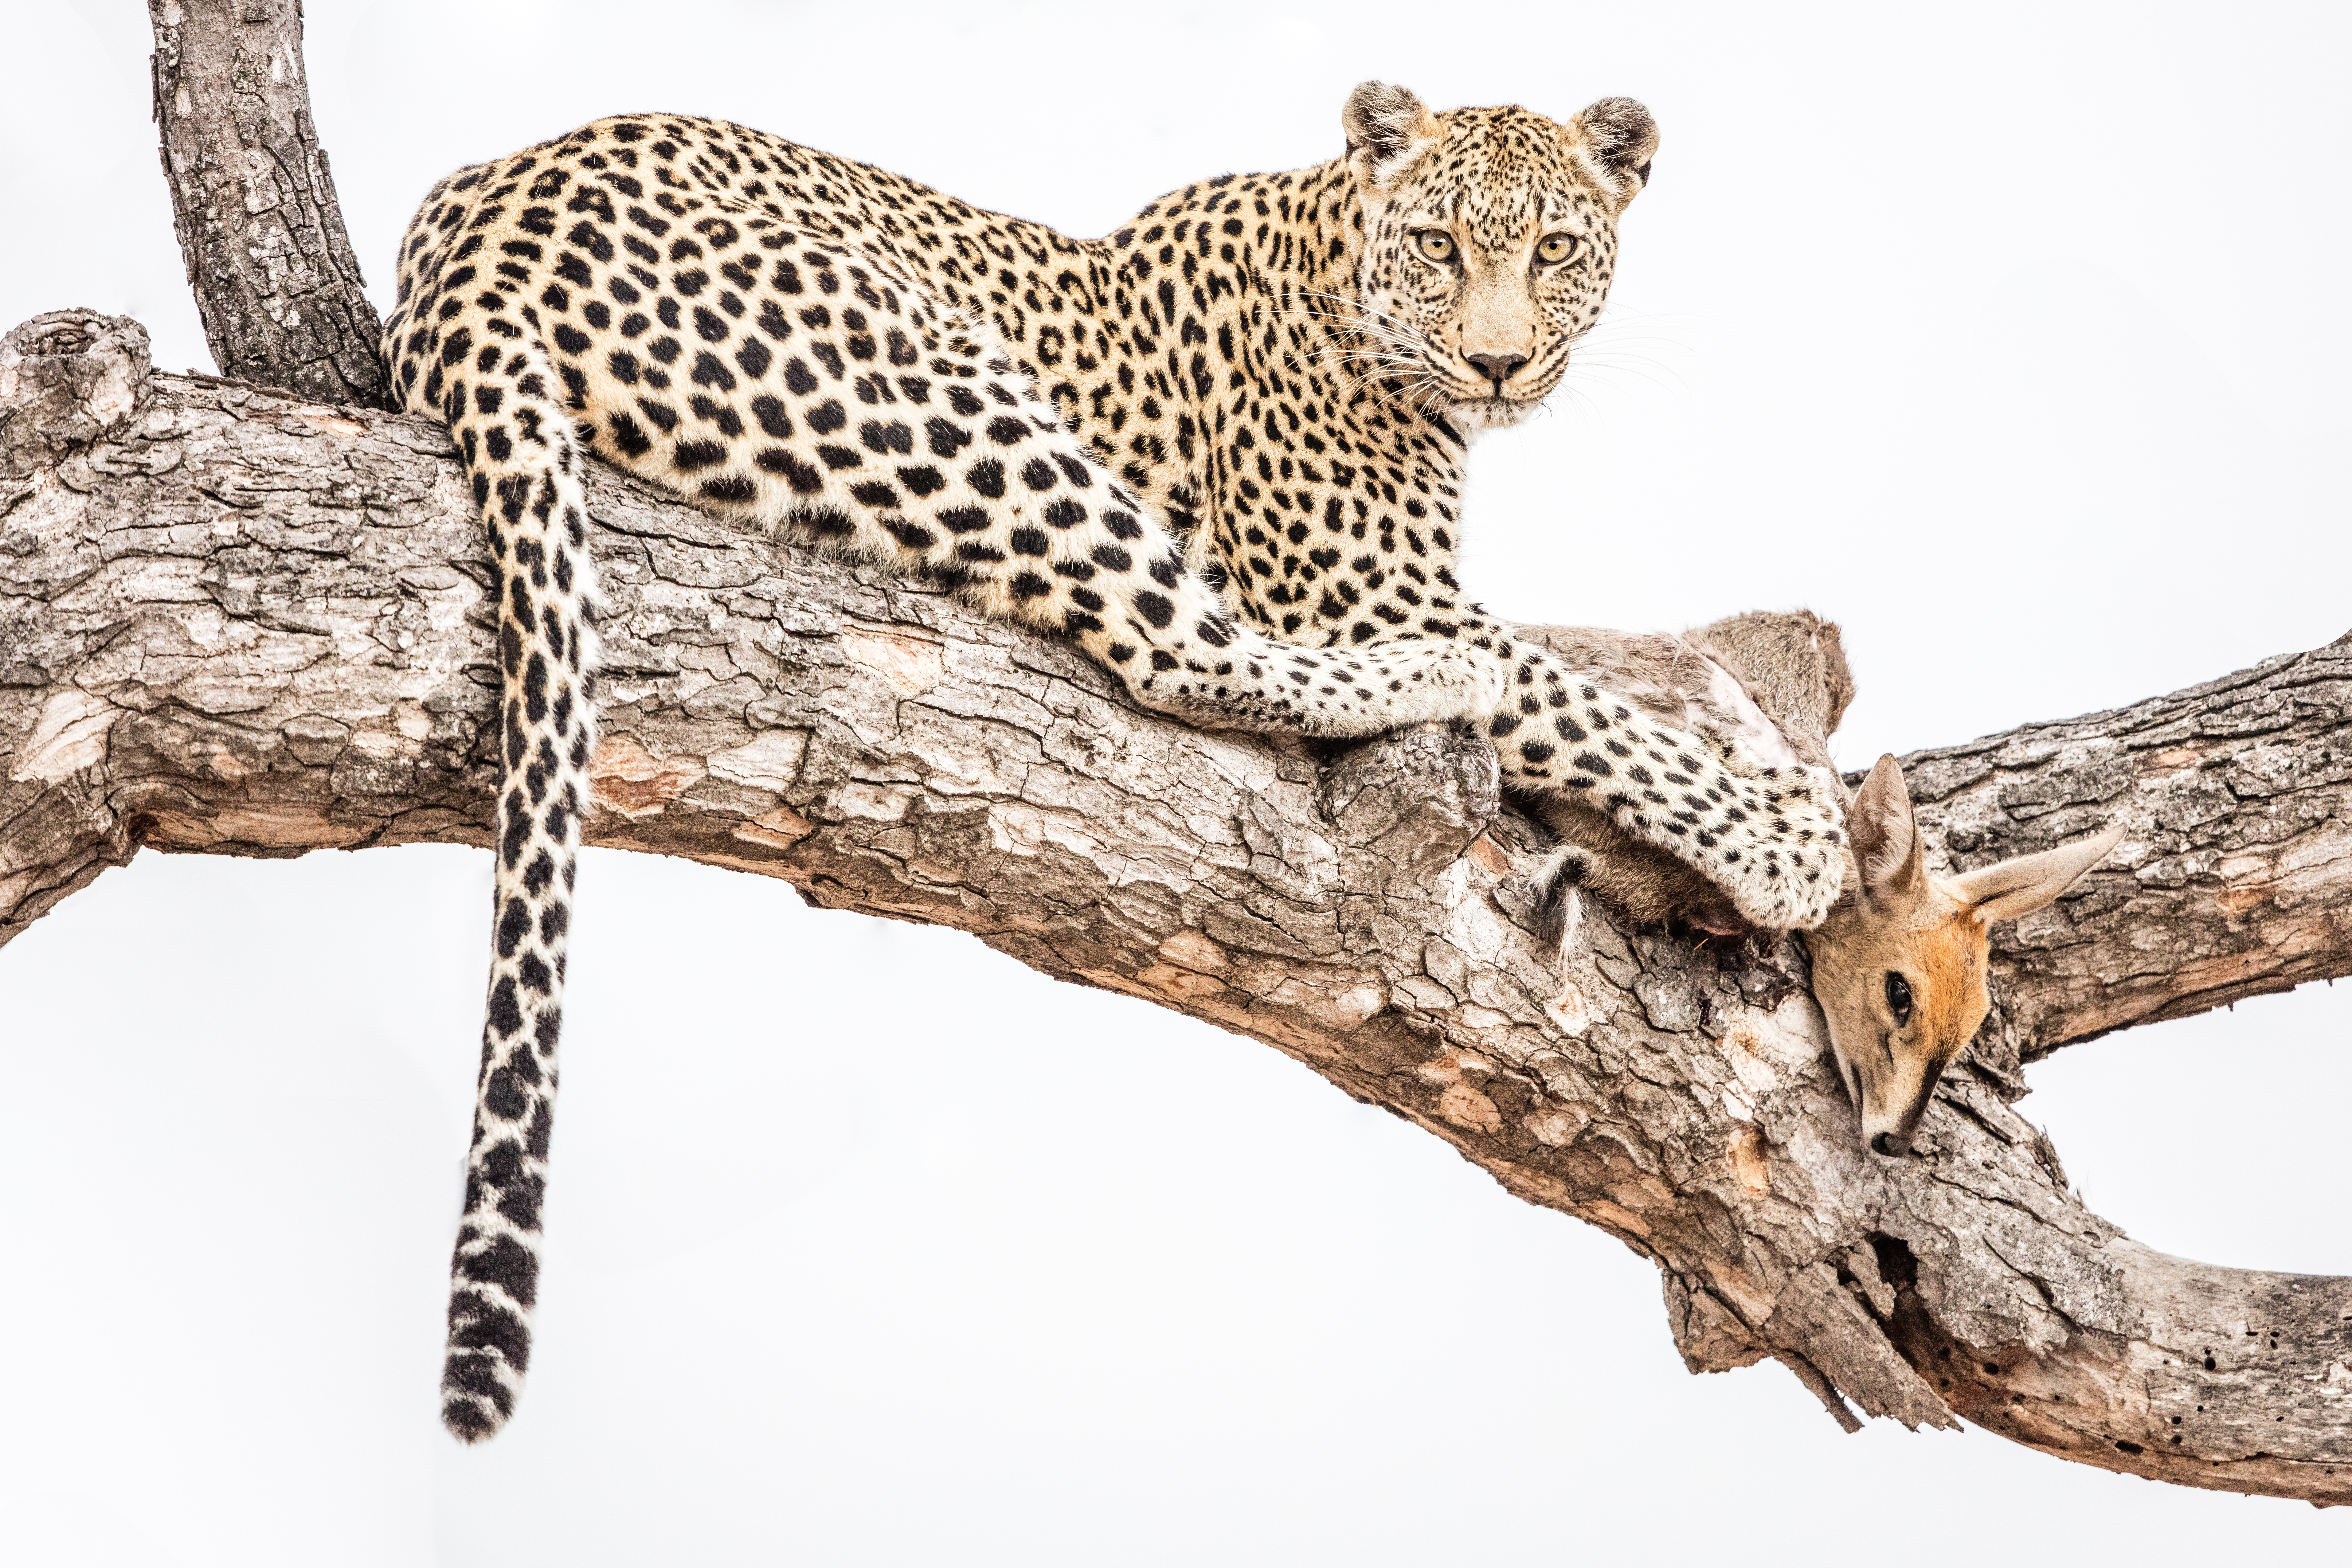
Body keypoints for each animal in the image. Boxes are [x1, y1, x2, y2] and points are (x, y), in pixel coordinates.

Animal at [382, 80, 1848, 1442]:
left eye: (1552, 249)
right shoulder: (1357, 593)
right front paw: (1785, 840)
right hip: (939, 376)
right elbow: (1578, 699)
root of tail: (468, 240)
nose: (1497, 363)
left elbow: (1590, 667)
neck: (1344, 258)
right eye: (1440, 244)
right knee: (1176, 640)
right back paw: (1438, 682)